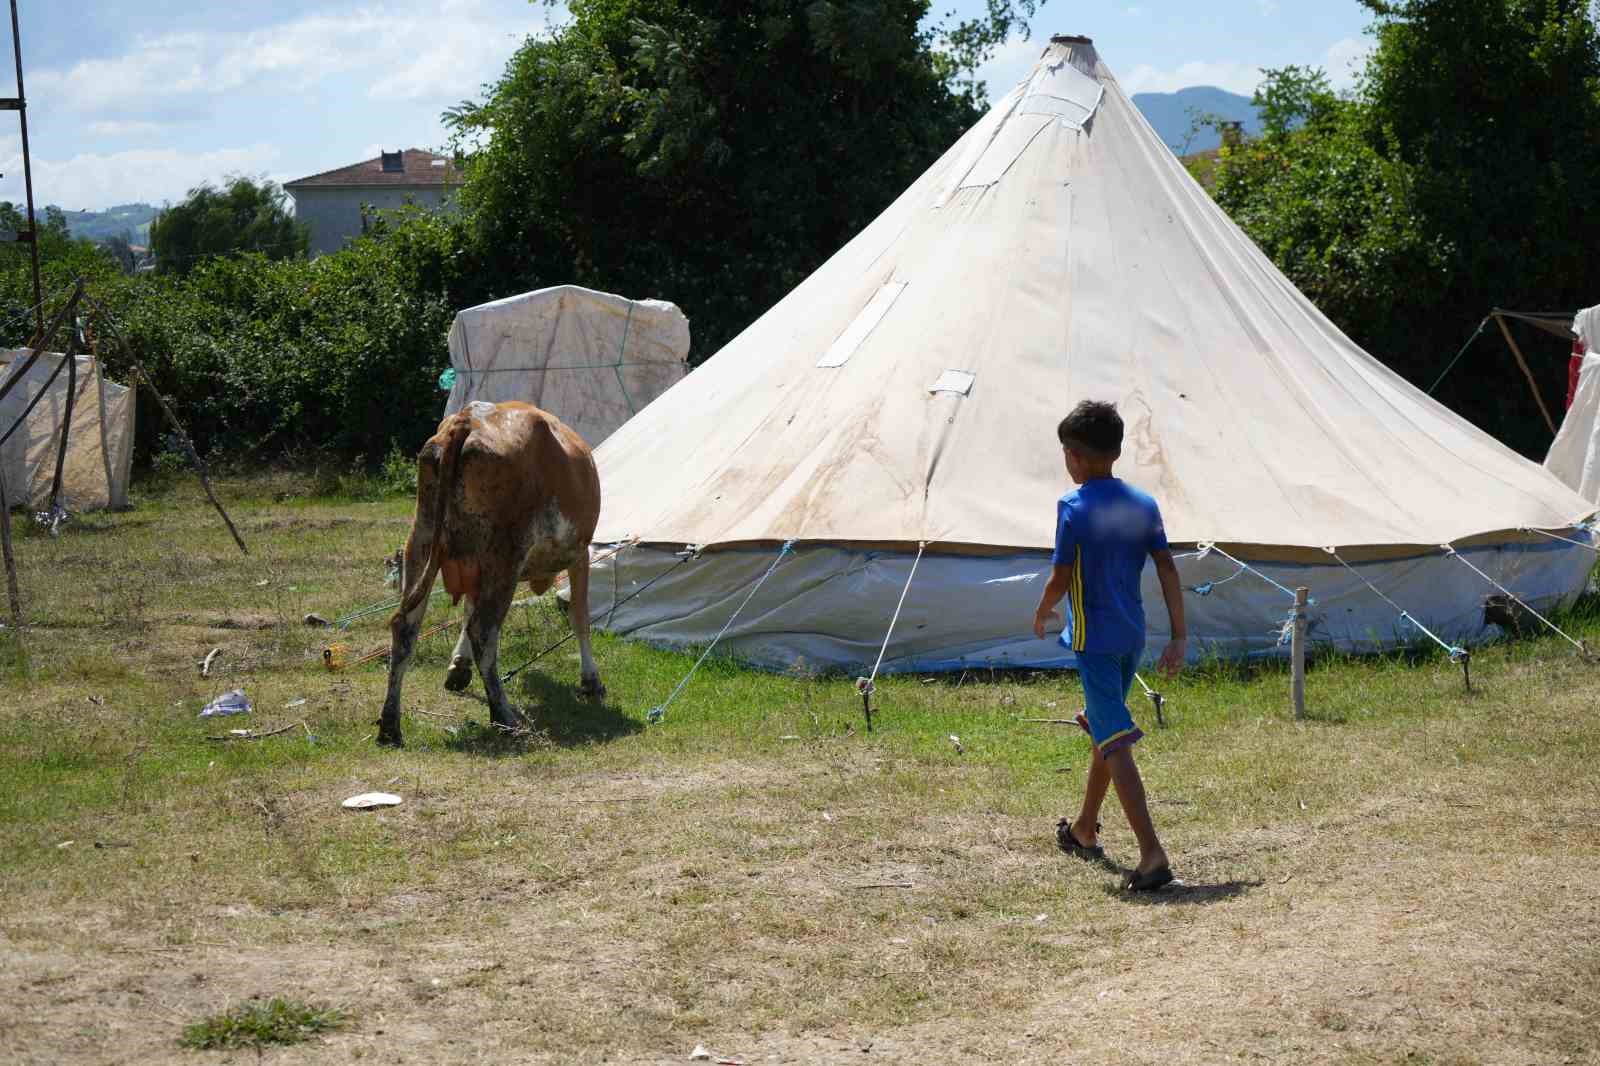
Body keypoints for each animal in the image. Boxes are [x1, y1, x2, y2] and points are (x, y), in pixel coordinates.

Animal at [377, 400, 601, 745]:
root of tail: (468, 419)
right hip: (505, 556)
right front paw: (591, 680)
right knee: (483, 631)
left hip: (422, 541)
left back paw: (390, 724)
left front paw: (458, 666)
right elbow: (580, 618)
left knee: (405, 629)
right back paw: (504, 715)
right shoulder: (580, 554)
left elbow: (467, 612)